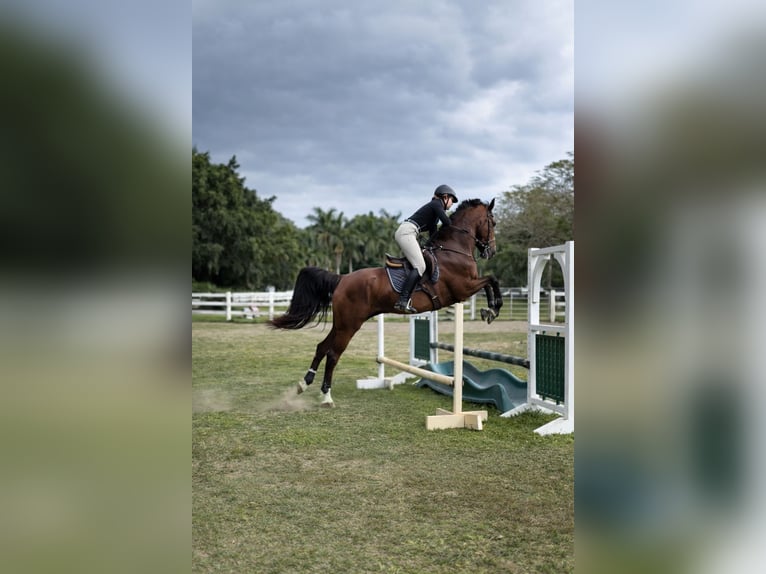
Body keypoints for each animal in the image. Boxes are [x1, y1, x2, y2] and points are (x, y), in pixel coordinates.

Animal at [269, 198, 502, 407]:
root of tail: (342, 278)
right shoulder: (463, 289)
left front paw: (489, 310)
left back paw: (304, 384)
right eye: (493, 222)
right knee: (333, 354)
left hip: (341, 323)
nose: (491, 251)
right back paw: (326, 396)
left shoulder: (467, 287)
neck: (453, 249)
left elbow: (490, 281)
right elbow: (492, 279)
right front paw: (494, 308)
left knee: (322, 347)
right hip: (350, 324)